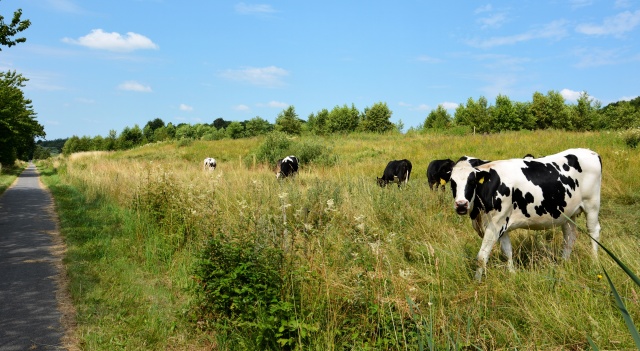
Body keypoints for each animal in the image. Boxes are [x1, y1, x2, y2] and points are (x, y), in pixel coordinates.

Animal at [448, 149, 604, 284]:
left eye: (472, 182)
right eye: (452, 182)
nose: (461, 204)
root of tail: (591, 152)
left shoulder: (494, 225)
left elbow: (481, 257)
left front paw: (476, 282)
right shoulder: (502, 225)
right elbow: (507, 252)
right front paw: (512, 274)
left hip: (592, 205)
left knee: (593, 231)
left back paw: (594, 261)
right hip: (568, 213)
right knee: (569, 237)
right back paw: (563, 263)